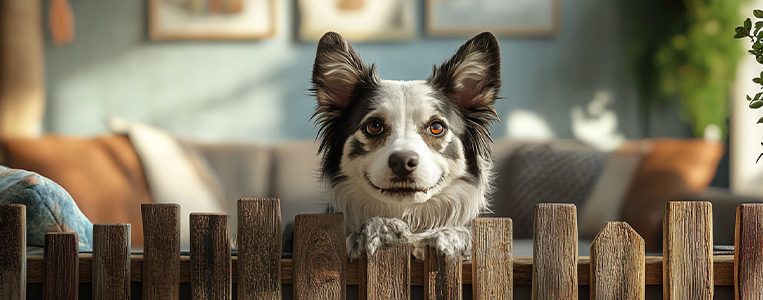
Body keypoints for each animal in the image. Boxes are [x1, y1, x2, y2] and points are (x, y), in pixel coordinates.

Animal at [310, 31, 502, 260]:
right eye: (374, 126)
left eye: (436, 127)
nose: (402, 162)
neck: (406, 215)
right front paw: (375, 231)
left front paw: (448, 235)